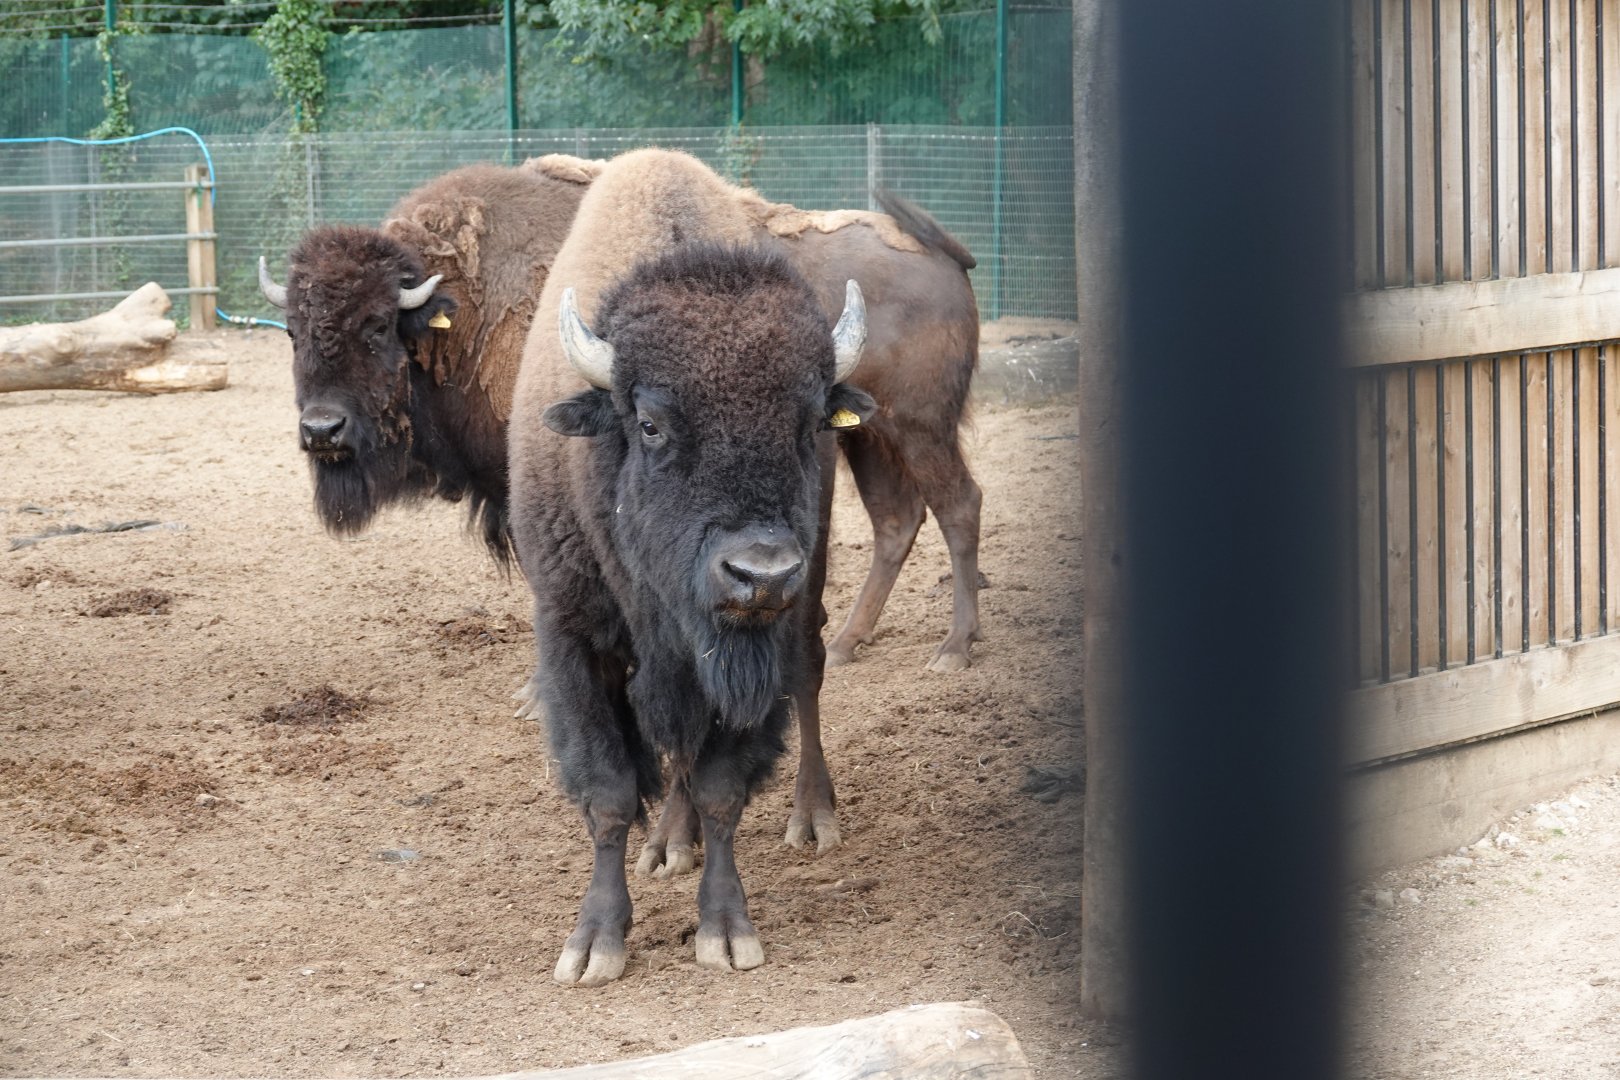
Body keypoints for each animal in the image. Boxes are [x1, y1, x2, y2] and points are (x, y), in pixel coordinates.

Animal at [508, 148, 875, 985]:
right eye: (650, 424)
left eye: (809, 423)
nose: (760, 572)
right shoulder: (574, 638)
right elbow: (610, 793)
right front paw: (594, 944)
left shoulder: (752, 656)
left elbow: (720, 790)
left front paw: (726, 931)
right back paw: (667, 845)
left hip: (801, 610)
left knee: (806, 681)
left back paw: (810, 817)